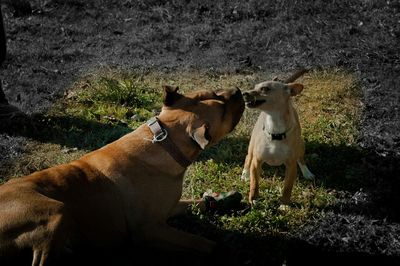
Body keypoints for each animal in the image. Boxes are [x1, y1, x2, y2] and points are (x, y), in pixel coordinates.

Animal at [0, 86, 244, 264]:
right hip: (57, 212)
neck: (164, 143)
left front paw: (223, 199)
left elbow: (197, 202)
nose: (238, 90)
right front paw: (226, 251)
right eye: (223, 110)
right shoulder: (150, 230)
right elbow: (203, 243)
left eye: (216, 92)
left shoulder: (169, 208)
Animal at [239, 75, 314, 208]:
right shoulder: (256, 162)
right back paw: (245, 174)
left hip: (301, 145)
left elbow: (287, 188)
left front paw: (284, 204)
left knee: (301, 159)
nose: (243, 93)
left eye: (265, 89)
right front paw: (253, 199)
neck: (275, 129)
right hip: (251, 148)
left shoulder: (291, 167)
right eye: (254, 87)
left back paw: (307, 172)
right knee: (248, 158)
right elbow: (254, 184)